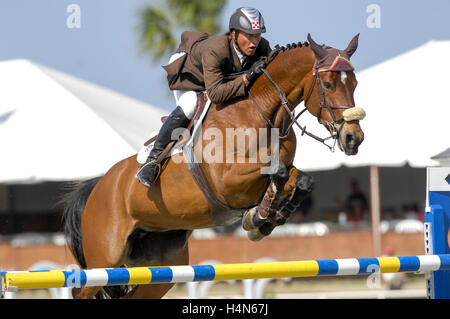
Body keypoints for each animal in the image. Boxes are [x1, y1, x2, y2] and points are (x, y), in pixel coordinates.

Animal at [61, 34, 366, 300]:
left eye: (354, 83)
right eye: (328, 84)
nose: (354, 139)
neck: (263, 113)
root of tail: (98, 185)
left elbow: (299, 180)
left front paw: (266, 219)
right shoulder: (226, 182)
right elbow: (277, 171)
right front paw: (258, 218)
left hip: (161, 267)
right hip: (105, 259)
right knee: (82, 290)